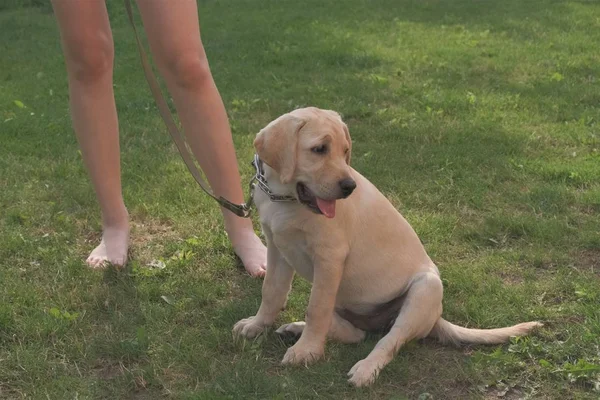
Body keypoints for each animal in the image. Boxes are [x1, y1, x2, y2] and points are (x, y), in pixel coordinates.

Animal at [232, 107, 540, 388]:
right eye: (319, 149)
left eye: (345, 151)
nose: (349, 187)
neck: (285, 198)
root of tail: (436, 318)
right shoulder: (277, 247)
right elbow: (272, 292)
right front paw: (257, 325)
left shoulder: (330, 257)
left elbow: (316, 307)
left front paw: (307, 351)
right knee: (354, 333)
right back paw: (296, 328)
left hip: (425, 290)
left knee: (388, 341)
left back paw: (364, 368)